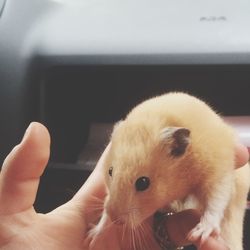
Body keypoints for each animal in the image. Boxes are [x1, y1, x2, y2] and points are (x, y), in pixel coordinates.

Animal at [89, 92, 249, 250]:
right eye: (110, 171)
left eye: (143, 183)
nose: (115, 220)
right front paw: (94, 232)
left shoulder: (218, 171)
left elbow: (215, 200)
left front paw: (199, 234)